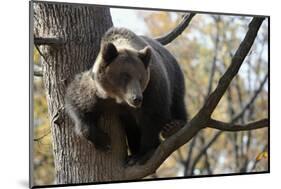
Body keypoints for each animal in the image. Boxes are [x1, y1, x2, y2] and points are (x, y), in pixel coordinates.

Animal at [65, 27, 187, 165]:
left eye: (140, 78)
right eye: (125, 76)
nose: (136, 99)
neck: (119, 98)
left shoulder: (152, 87)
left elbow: (153, 116)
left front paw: (142, 153)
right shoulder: (97, 91)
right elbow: (78, 102)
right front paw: (104, 141)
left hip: (174, 75)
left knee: (177, 102)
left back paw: (174, 126)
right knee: (132, 129)